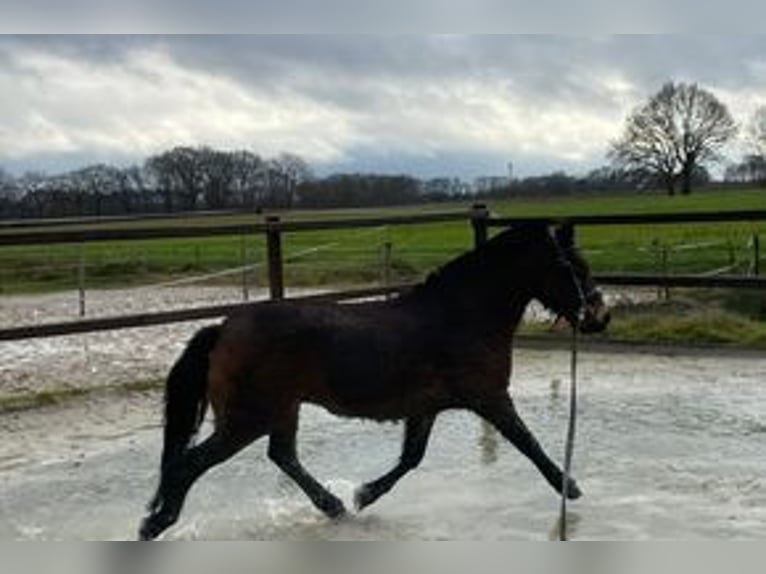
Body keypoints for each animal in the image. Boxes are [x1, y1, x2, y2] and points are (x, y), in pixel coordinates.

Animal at [141, 224, 612, 540]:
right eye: (573, 266)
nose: (600, 316)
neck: (461, 315)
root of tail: (223, 327)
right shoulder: (491, 398)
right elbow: (529, 444)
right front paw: (569, 487)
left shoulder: (427, 408)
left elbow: (411, 459)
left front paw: (364, 495)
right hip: (247, 418)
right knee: (191, 463)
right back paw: (155, 524)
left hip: (282, 410)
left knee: (283, 456)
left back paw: (333, 507)